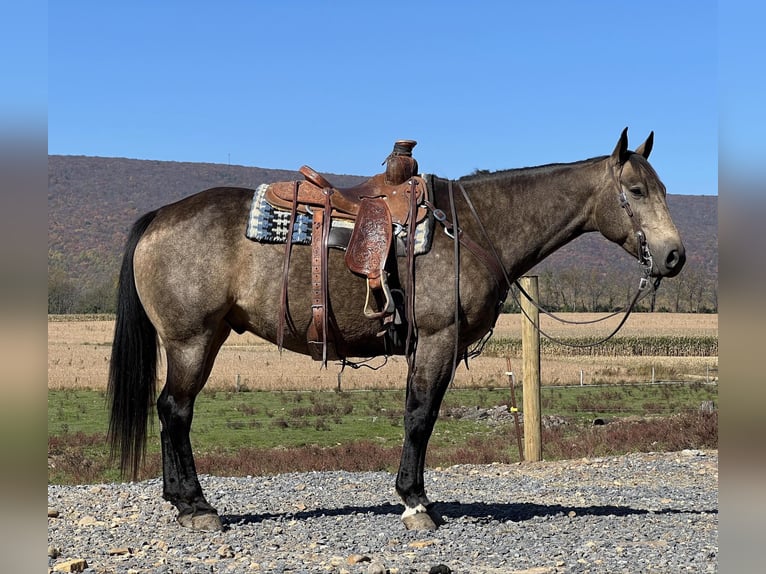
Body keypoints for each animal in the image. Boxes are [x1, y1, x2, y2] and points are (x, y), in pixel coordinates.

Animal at [106, 128, 684, 532]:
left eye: (662, 188)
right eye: (636, 190)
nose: (675, 256)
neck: (472, 228)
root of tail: (160, 216)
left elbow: (416, 414)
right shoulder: (437, 339)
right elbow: (421, 416)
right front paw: (415, 503)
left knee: (171, 412)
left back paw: (183, 502)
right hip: (192, 341)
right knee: (175, 411)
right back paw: (196, 507)